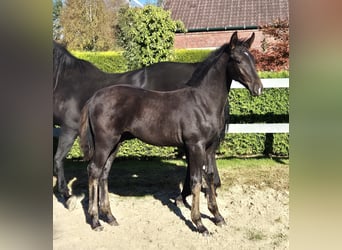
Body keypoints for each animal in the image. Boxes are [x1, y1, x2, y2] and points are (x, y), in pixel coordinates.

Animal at [79, 31, 264, 234]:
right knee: (94, 171)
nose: (259, 88)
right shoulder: (195, 146)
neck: (202, 102)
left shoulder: (208, 148)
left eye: (253, 59)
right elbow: (196, 181)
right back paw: (95, 221)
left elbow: (209, 177)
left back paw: (110, 217)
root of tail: (94, 97)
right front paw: (199, 223)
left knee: (104, 173)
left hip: (115, 143)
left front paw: (218, 216)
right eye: (237, 60)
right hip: (105, 142)